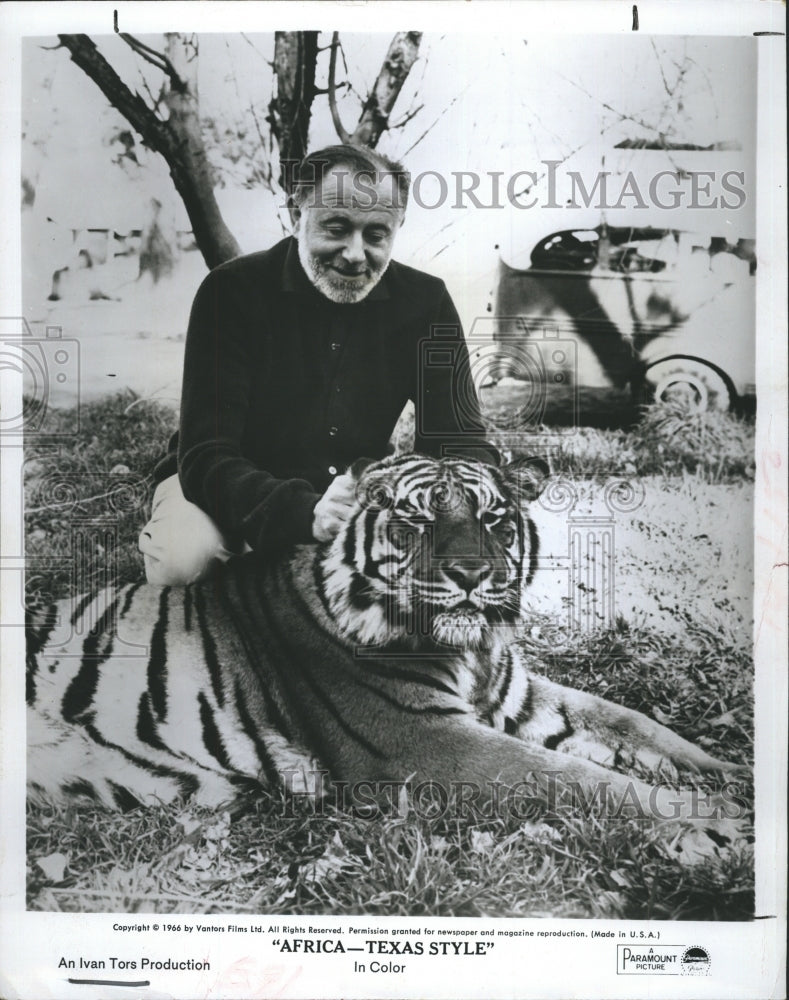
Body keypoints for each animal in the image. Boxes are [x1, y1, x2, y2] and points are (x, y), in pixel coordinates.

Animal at [26, 454, 744, 860]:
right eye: (416, 520)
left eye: (494, 520)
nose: (471, 574)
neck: (472, 654)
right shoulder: (421, 741)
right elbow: (579, 780)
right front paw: (716, 823)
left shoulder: (518, 696)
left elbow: (638, 726)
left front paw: (734, 777)